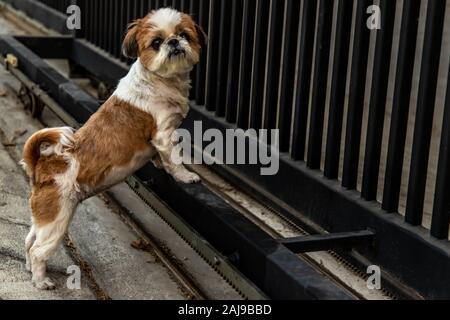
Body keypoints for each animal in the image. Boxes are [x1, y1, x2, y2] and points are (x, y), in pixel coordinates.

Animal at [20, 7, 205, 288]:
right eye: (157, 42)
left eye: (184, 34)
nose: (174, 42)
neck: (159, 80)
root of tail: (43, 164)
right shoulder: (164, 133)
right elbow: (174, 158)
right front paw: (185, 176)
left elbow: (163, 157)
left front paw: (160, 163)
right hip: (57, 220)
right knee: (38, 251)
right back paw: (41, 281)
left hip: (42, 218)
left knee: (29, 241)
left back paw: (31, 271)